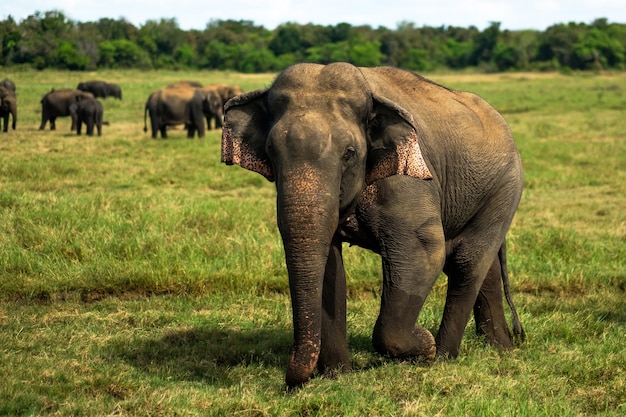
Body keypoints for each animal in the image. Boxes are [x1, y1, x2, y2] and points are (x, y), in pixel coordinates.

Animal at [222, 62, 524, 386]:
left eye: (349, 153)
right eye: (271, 151)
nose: (293, 382)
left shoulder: (408, 182)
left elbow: (425, 253)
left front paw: (425, 345)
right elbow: (330, 268)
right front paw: (337, 376)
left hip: (505, 186)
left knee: (466, 263)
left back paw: (445, 356)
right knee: (485, 268)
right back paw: (499, 347)